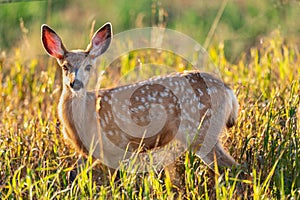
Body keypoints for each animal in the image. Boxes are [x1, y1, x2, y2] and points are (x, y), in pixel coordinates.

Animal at [41, 23, 239, 170]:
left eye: (89, 66)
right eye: (65, 66)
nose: (76, 83)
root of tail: (228, 90)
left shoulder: (117, 145)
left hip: (200, 128)